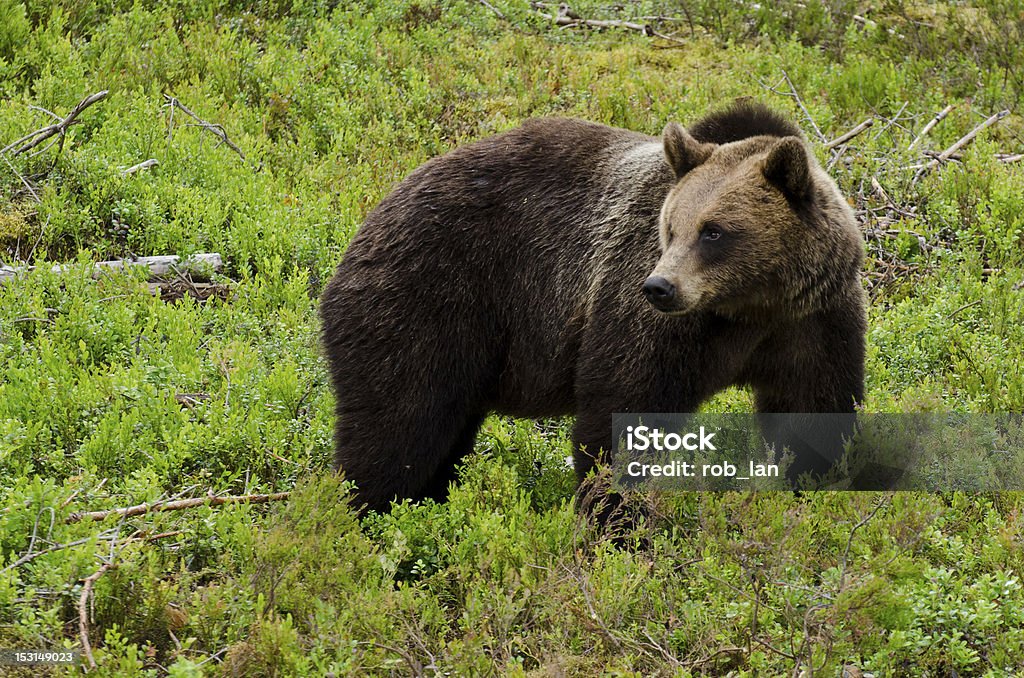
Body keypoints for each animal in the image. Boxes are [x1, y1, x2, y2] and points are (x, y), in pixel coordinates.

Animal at [319, 103, 864, 512]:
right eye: (670, 227)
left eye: (713, 231)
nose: (660, 287)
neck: (747, 308)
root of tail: (365, 225)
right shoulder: (651, 319)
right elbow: (624, 410)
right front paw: (616, 519)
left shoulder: (813, 319)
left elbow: (814, 408)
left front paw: (816, 490)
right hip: (431, 300)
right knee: (399, 426)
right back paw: (370, 516)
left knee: (439, 437)